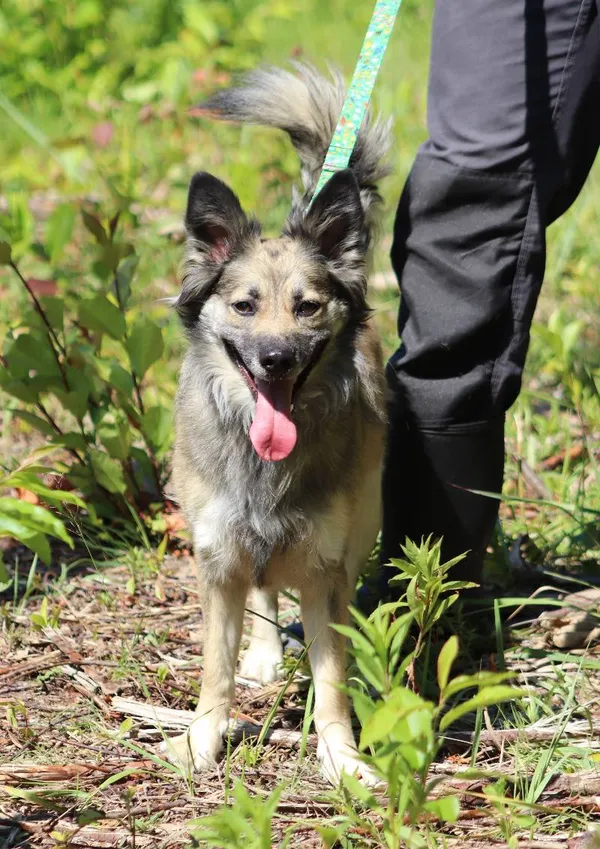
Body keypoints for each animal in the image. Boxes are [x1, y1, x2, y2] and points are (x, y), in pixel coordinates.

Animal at [165, 63, 390, 784]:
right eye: (245, 305)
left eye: (308, 307)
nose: (276, 359)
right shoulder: (217, 559)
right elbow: (214, 667)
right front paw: (202, 740)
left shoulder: (326, 570)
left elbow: (333, 682)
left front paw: (342, 760)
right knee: (260, 593)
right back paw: (262, 651)